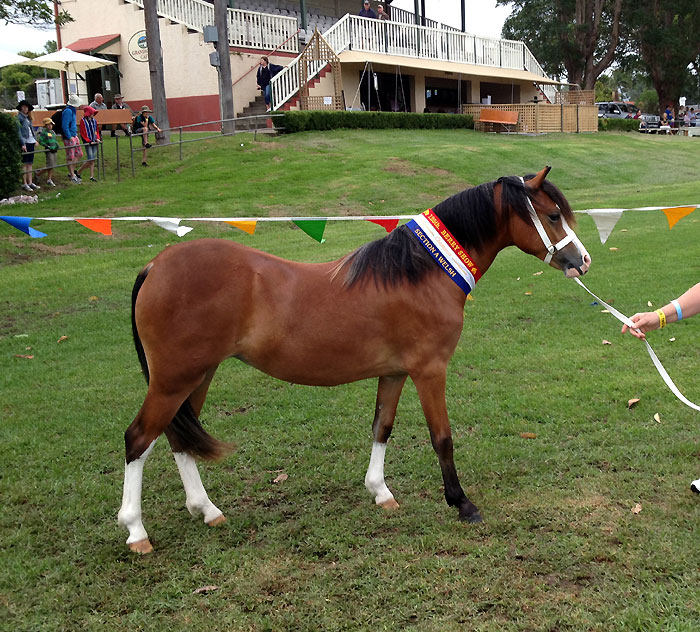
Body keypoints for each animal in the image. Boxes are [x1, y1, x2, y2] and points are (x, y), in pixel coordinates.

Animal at [118, 166, 591, 553]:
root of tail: (155, 265)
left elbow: (382, 428)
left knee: (179, 439)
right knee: (138, 439)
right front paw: (462, 503)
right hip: (174, 379)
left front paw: (380, 492)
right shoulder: (429, 371)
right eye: (552, 215)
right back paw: (136, 531)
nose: (582, 261)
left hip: (198, 376)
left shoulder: (395, 373)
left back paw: (207, 509)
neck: (421, 273)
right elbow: (442, 437)